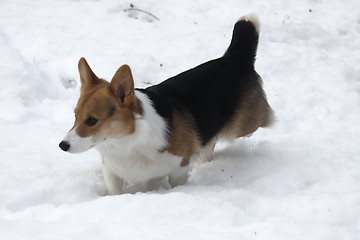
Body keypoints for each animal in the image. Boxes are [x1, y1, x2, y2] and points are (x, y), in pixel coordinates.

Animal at [58, 14, 272, 195]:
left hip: (244, 126)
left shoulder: (179, 166)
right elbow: (114, 191)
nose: (62, 145)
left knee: (262, 121)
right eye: (75, 116)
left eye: (92, 120)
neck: (126, 143)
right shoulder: (112, 171)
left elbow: (175, 181)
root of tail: (234, 57)